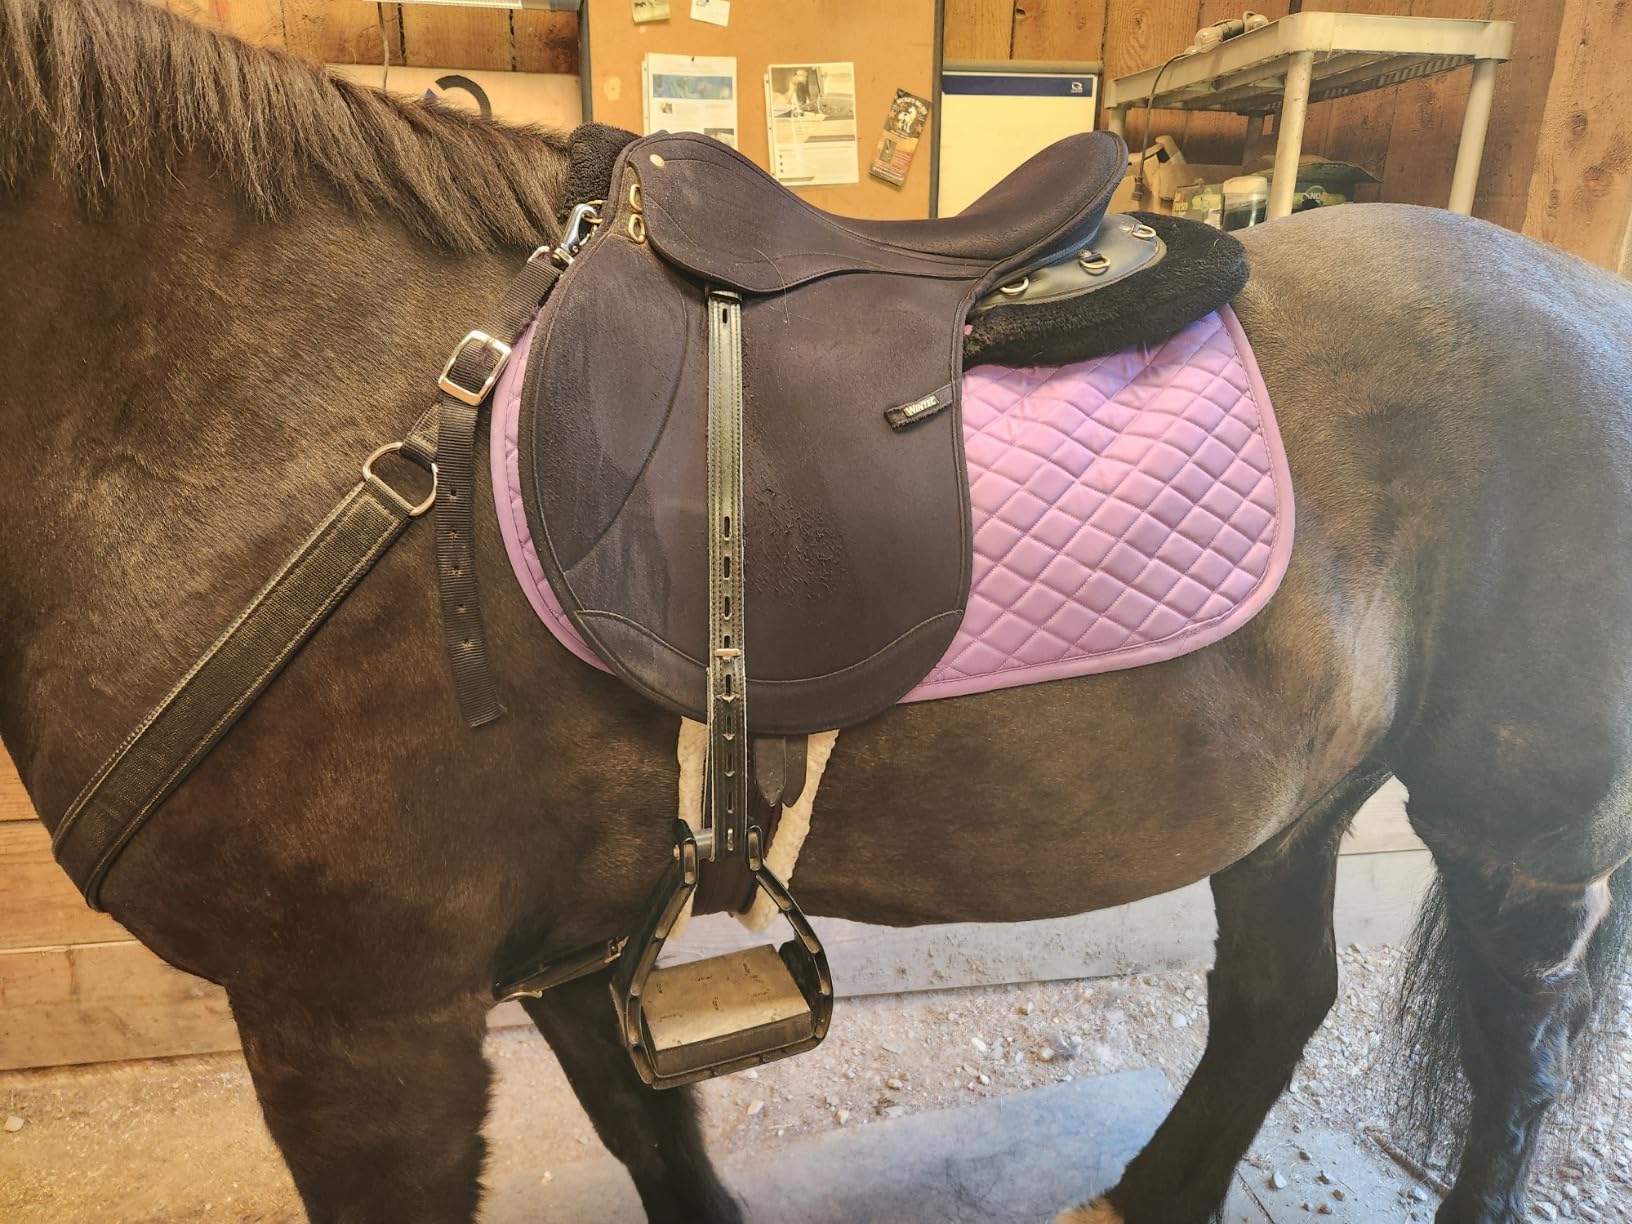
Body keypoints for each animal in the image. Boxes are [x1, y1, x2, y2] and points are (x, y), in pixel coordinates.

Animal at [3, 3, 1629, 1222]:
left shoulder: (357, 1025)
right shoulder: (561, 961)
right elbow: (658, 1150)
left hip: (1522, 832)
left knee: (1521, 1063)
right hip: (1298, 796)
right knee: (1279, 999)